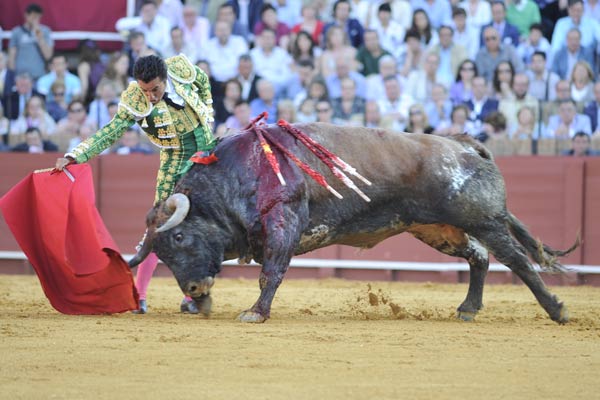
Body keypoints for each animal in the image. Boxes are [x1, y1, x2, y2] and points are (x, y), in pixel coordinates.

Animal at [129, 123, 580, 324]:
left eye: (180, 236)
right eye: (162, 254)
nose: (192, 288)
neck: (238, 173)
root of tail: (464, 145)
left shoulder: (284, 222)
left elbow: (271, 272)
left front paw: (255, 313)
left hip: (483, 219)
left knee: (517, 261)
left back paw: (557, 310)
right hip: (438, 229)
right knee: (479, 258)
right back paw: (468, 309)